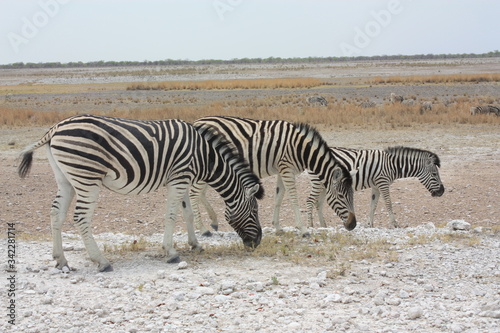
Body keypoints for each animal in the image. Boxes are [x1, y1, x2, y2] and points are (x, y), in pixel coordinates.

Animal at [17, 114, 264, 270]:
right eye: (254, 211)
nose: (258, 242)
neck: (204, 156)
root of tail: (55, 129)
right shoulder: (179, 178)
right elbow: (171, 216)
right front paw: (171, 252)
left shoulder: (183, 179)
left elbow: (188, 214)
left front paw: (196, 245)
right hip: (87, 177)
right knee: (80, 217)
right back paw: (102, 261)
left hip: (65, 179)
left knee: (55, 214)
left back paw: (61, 260)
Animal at [189, 115, 358, 237]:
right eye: (341, 196)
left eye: (352, 195)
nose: (353, 225)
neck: (301, 149)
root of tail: (196, 122)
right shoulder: (287, 169)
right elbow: (293, 198)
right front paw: (303, 230)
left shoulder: (281, 170)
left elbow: (278, 198)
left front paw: (277, 227)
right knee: (194, 194)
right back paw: (203, 229)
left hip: (212, 169)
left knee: (200, 194)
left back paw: (213, 221)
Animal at [306, 146, 444, 227]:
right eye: (434, 174)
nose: (442, 191)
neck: (392, 165)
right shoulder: (383, 183)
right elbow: (388, 203)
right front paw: (394, 224)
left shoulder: (376, 186)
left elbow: (373, 205)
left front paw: (369, 224)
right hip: (318, 182)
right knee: (310, 200)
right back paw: (311, 225)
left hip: (326, 185)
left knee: (318, 203)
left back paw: (323, 226)